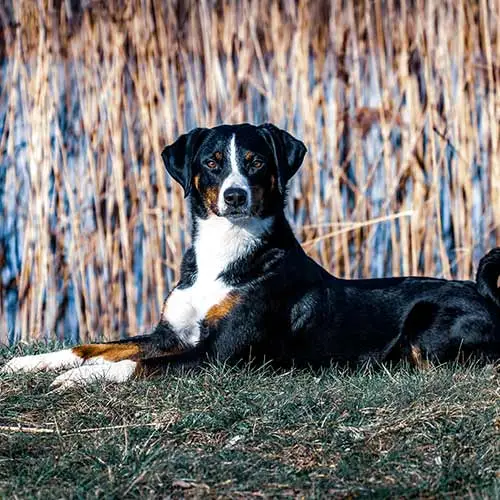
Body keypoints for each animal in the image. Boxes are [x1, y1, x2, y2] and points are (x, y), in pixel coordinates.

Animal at [0, 123, 500, 388]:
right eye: (212, 162)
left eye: (257, 162)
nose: (235, 195)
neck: (222, 255)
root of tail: (486, 295)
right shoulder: (170, 334)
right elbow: (96, 346)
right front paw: (32, 363)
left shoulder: (216, 355)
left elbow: (131, 363)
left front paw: (79, 380)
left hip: (427, 327)